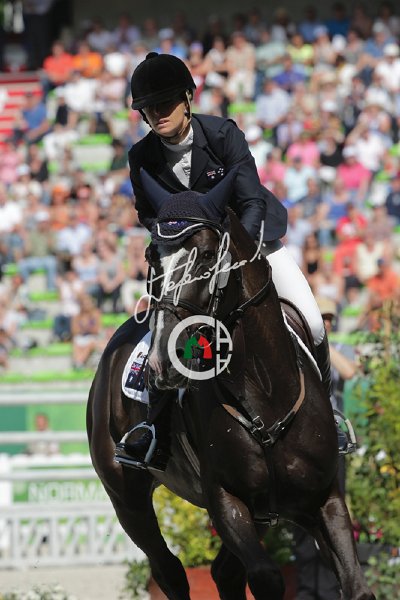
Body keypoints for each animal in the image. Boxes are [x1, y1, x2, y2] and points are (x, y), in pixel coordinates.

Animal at [87, 171, 375, 600]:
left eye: (208, 255)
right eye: (152, 258)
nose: (161, 363)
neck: (265, 393)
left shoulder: (322, 500)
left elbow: (356, 585)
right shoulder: (226, 502)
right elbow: (267, 577)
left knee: (223, 572)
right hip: (127, 496)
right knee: (169, 570)